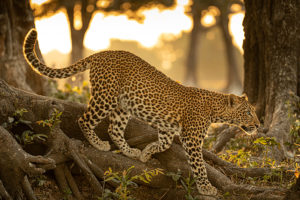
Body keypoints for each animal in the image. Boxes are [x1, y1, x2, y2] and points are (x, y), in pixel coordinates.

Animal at [23, 28, 260, 195]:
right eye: (248, 112)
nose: (258, 125)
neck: (214, 109)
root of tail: (100, 53)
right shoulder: (192, 139)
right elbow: (199, 165)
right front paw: (206, 188)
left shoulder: (167, 129)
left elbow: (163, 144)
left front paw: (146, 153)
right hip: (106, 97)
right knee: (85, 119)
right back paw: (98, 144)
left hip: (122, 106)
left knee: (114, 129)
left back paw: (130, 152)